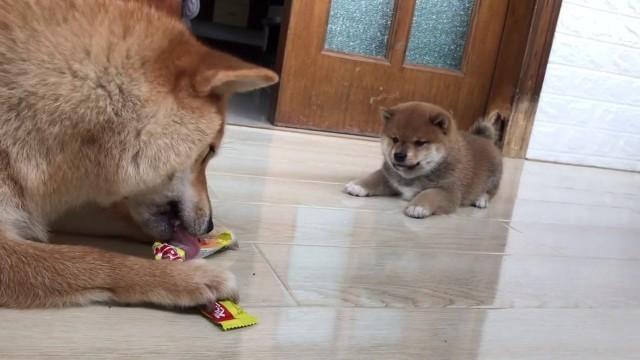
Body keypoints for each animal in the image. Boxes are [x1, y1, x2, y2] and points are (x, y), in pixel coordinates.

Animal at [1, 1, 278, 308]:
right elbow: (99, 259)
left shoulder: (45, 205)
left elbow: (118, 218)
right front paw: (190, 276)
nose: (209, 225)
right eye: (209, 152)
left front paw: (214, 237)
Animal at [344, 102, 500, 218]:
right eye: (395, 139)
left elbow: (429, 194)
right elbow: (375, 177)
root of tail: (485, 139)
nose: (399, 155)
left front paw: (417, 206)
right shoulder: (390, 176)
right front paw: (358, 186)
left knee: (491, 192)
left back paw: (481, 199)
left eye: (419, 143)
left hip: (494, 177)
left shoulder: (448, 192)